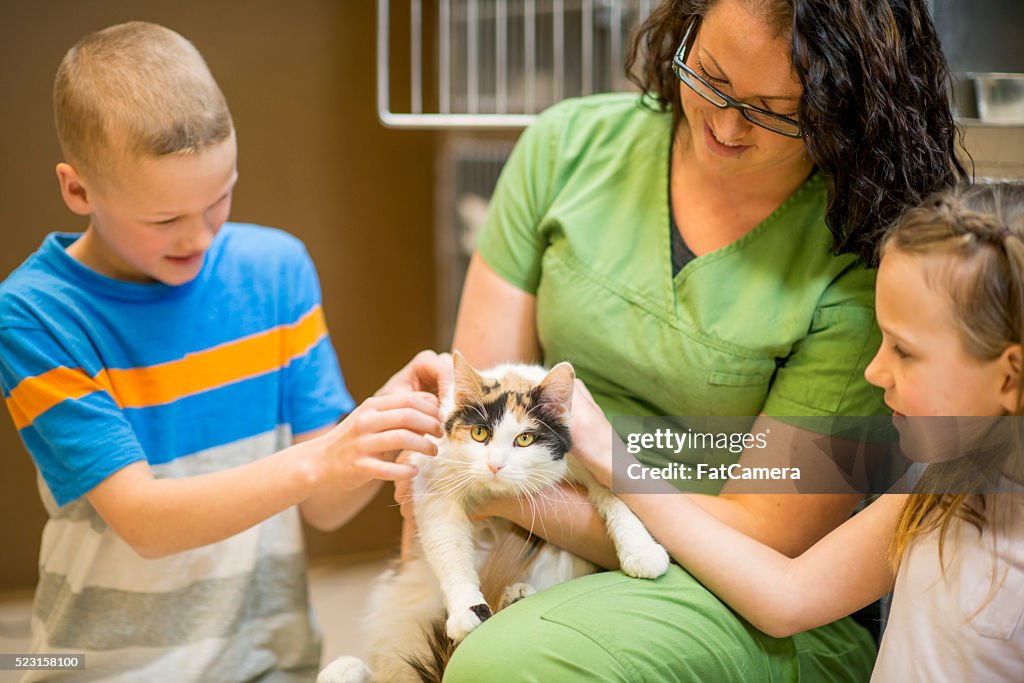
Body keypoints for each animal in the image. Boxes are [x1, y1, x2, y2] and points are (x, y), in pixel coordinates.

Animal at [319, 352, 671, 683]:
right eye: (479, 433)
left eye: (525, 439)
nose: (495, 465)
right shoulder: (436, 484)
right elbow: (450, 551)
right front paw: (466, 609)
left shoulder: (592, 460)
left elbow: (618, 497)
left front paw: (641, 551)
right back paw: (343, 670)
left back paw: (515, 596)